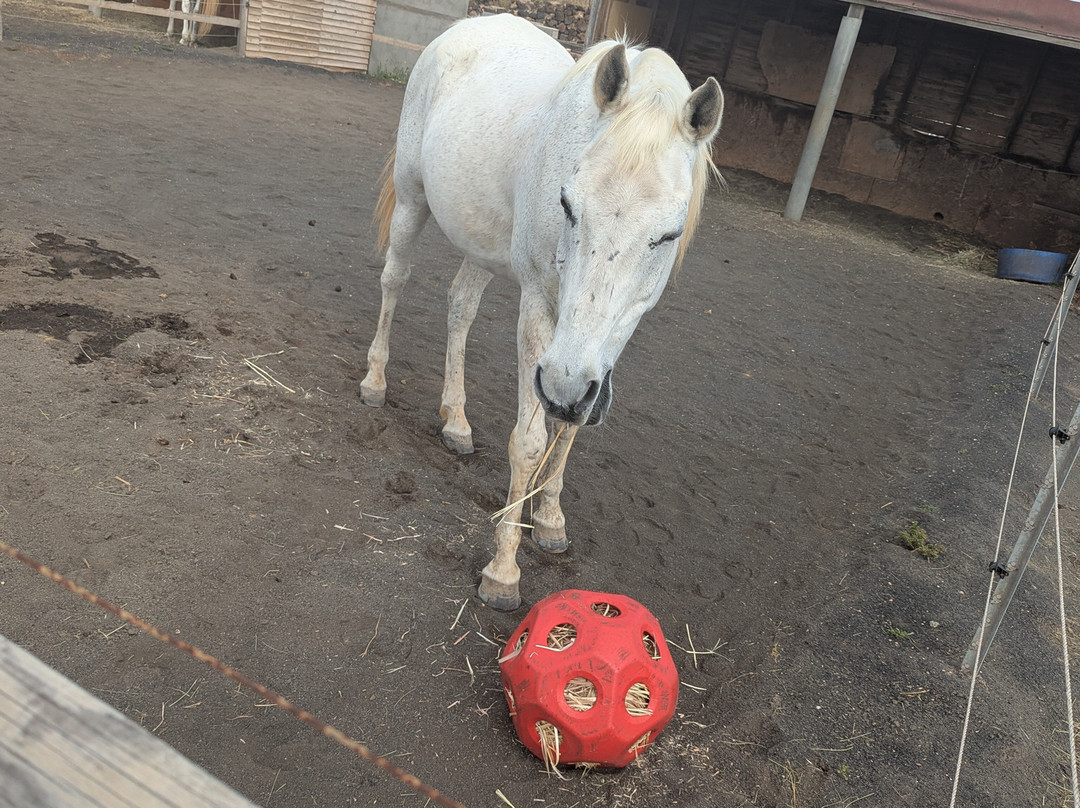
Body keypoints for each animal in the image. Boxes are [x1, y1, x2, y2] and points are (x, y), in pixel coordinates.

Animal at [360, 13, 723, 611]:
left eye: (668, 235)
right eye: (568, 204)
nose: (565, 385)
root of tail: (464, 29)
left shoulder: (608, 344)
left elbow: (570, 429)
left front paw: (550, 518)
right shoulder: (539, 310)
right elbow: (529, 441)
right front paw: (502, 570)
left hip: (482, 244)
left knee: (460, 307)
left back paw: (456, 421)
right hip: (413, 201)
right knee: (395, 280)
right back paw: (374, 381)